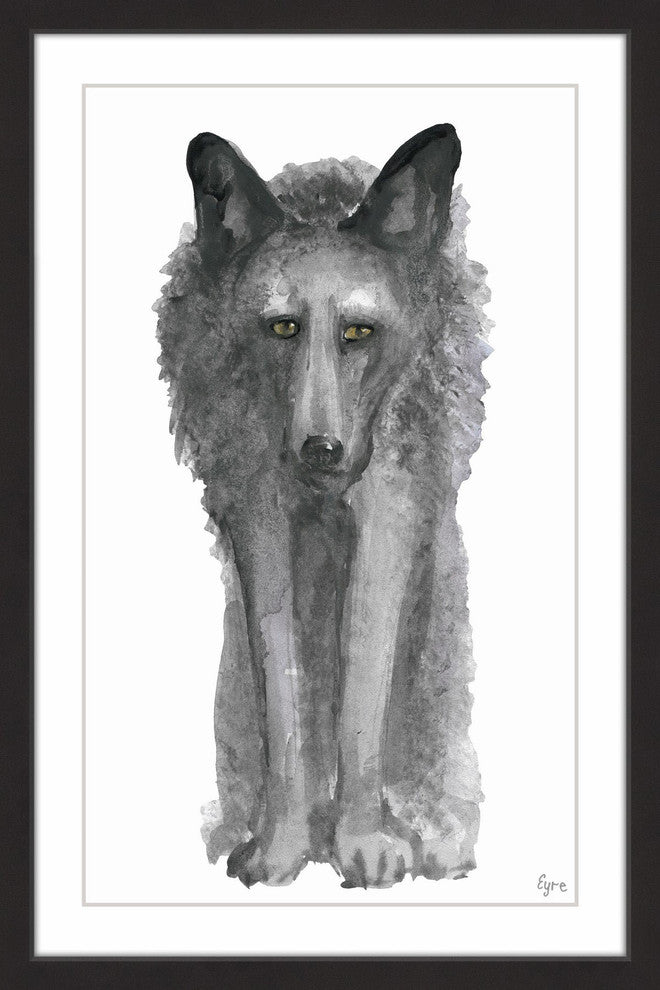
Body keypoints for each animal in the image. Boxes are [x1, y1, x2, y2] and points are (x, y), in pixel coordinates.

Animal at [155, 124, 491, 888]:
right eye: (282, 329)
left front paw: (361, 841)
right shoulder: (260, 524)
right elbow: (286, 705)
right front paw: (285, 844)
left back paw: (435, 835)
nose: (321, 451)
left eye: (358, 333)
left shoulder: (388, 520)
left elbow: (360, 701)